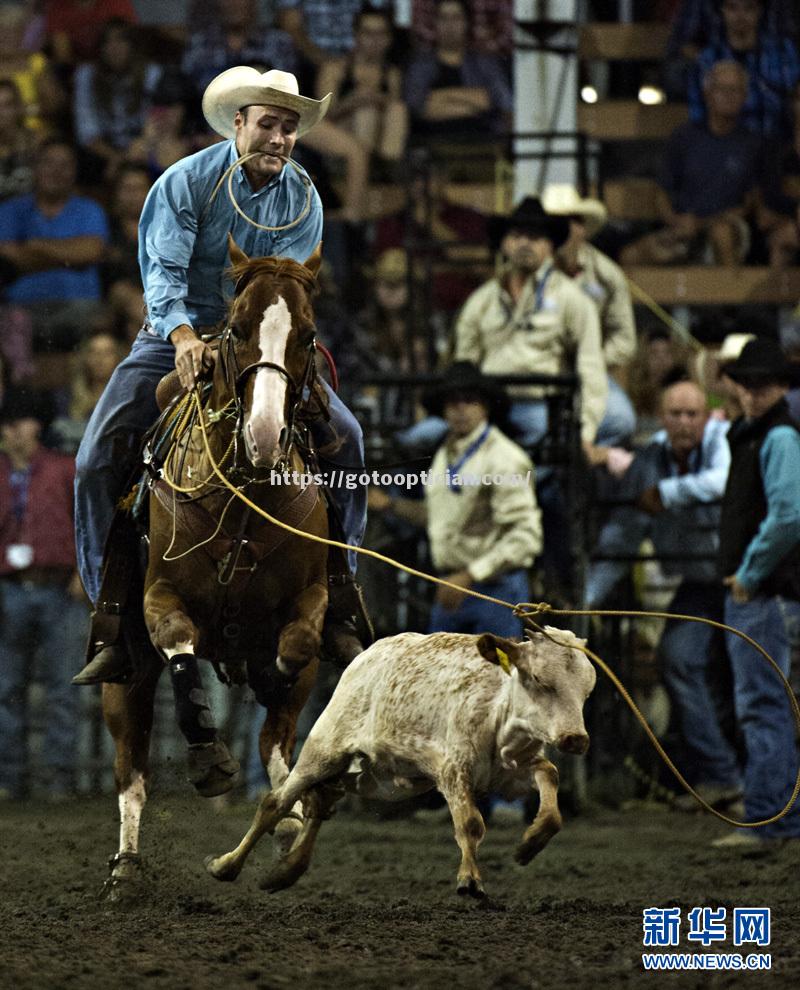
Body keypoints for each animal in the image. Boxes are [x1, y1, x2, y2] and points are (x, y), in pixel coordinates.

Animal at [101, 242, 332, 900]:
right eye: (237, 329)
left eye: (308, 334)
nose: (265, 434)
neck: (246, 495)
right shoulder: (159, 595)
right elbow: (180, 645)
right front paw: (210, 759)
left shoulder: (312, 596)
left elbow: (294, 654)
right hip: (123, 669)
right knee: (132, 769)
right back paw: (126, 870)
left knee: (277, 739)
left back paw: (288, 820)